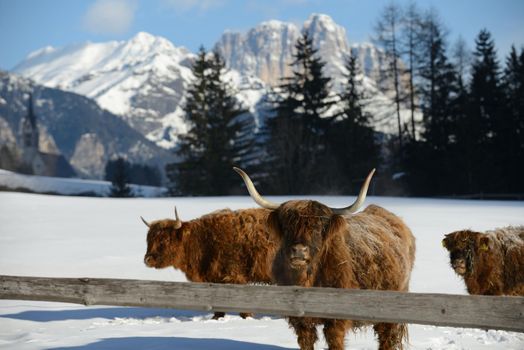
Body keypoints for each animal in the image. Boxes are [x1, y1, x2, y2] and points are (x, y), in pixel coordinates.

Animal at [235, 167, 416, 350]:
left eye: (317, 228)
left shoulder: (336, 321)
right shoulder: (301, 321)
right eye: (287, 227)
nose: (299, 250)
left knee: (387, 338)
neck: (308, 280)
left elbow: (335, 343)